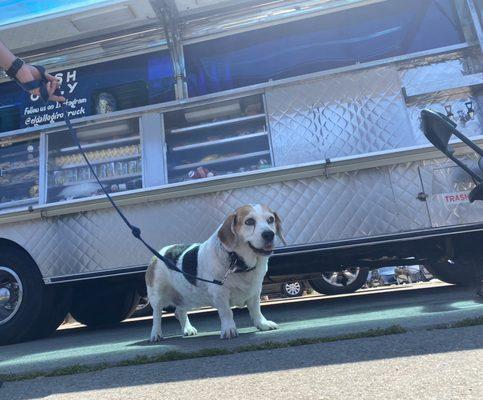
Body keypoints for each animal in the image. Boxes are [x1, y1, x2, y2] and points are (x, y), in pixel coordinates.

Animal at [146, 203, 286, 340]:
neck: (237, 261)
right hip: (157, 297)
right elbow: (226, 312)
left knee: (179, 311)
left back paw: (187, 329)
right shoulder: (220, 292)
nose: (269, 234)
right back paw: (156, 334)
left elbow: (256, 309)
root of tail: (158, 254)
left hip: (189, 297)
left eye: (270, 219)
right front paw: (229, 329)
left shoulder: (255, 290)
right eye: (249, 221)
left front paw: (262, 324)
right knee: (156, 316)